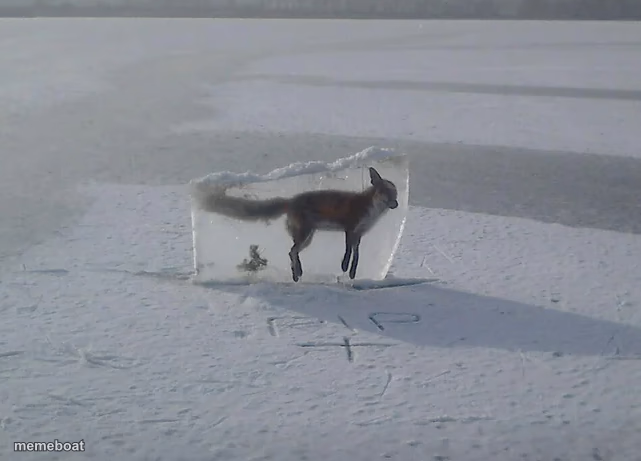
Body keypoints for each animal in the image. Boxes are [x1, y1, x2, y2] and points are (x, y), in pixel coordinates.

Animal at [193, 167, 399, 282]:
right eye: (385, 193)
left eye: (395, 194)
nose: (396, 204)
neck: (371, 211)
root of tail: (290, 200)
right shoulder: (349, 228)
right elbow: (348, 253)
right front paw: (344, 266)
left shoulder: (359, 234)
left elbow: (356, 256)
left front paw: (352, 273)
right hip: (305, 235)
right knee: (291, 252)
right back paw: (297, 272)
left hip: (308, 237)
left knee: (292, 252)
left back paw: (297, 273)